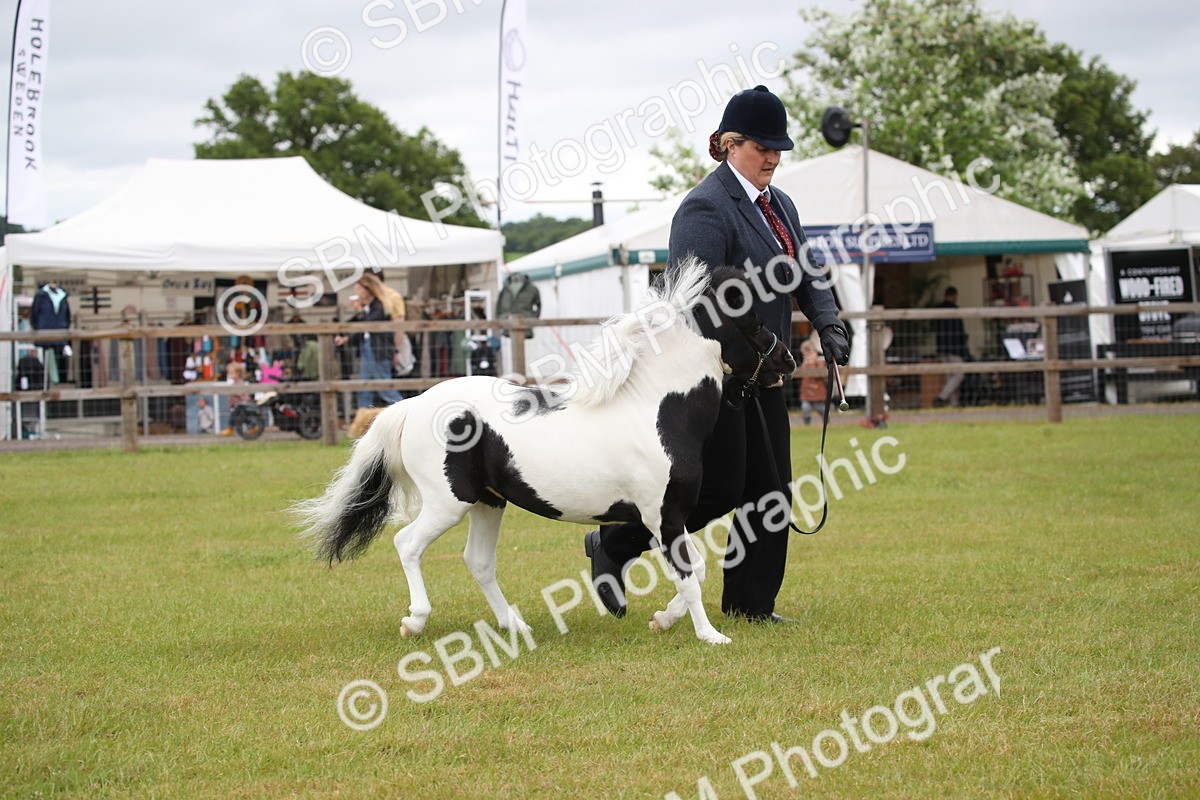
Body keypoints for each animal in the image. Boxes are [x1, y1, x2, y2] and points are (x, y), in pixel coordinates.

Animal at [293, 259, 796, 645]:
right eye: (752, 319)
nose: (786, 363)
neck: (656, 409)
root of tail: (413, 406)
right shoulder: (664, 516)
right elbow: (690, 576)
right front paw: (711, 636)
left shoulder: (666, 518)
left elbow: (698, 571)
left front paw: (662, 620)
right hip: (448, 502)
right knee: (407, 544)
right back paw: (414, 622)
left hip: (489, 502)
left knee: (478, 561)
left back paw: (515, 626)